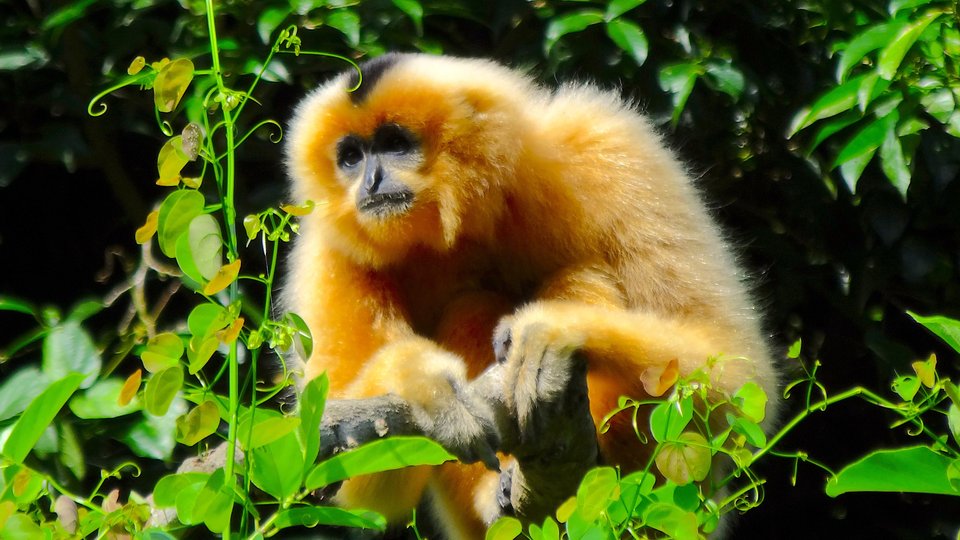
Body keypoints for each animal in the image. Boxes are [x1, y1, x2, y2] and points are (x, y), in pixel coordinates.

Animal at [282, 52, 779, 538]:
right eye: (351, 156)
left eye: (394, 142)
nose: (369, 181)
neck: (468, 219)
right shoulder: (329, 249)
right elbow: (360, 488)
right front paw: (423, 385)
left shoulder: (603, 144)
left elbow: (732, 373)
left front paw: (552, 331)